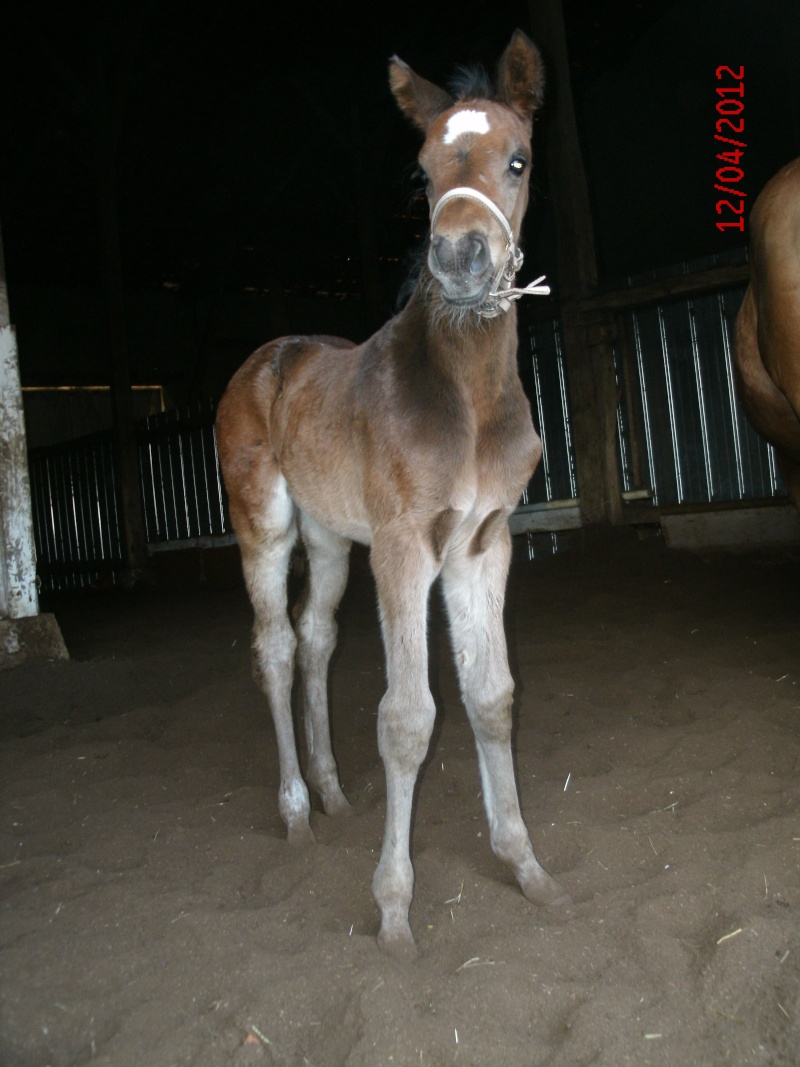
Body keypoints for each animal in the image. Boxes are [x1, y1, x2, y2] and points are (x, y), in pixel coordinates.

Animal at [217, 29, 571, 956]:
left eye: (518, 159)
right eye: (422, 167)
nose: (459, 258)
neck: (468, 399)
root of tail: (269, 354)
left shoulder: (485, 541)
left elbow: (492, 697)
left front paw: (527, 866)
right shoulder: (408, 546)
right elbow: (408, 718)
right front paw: (393, 907)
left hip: (333, 538)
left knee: (314, 640)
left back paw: (334, 793)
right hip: (265, 525)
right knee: (274, 645)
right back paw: (296, 811)